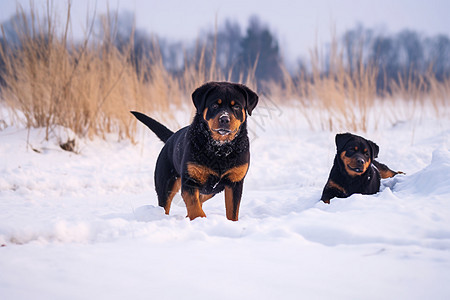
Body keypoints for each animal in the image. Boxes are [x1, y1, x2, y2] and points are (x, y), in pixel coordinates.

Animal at [131, 81, 256, 220]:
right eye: (214, 105)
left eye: (237, 107)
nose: (224, 119)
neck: (220, 149)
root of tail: (171, 137)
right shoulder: (190, 181)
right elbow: (194, 207)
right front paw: (201, 220)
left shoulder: (235, 183)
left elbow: (232, 212)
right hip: (165, 184)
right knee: (165, 205)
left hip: (211, 191)